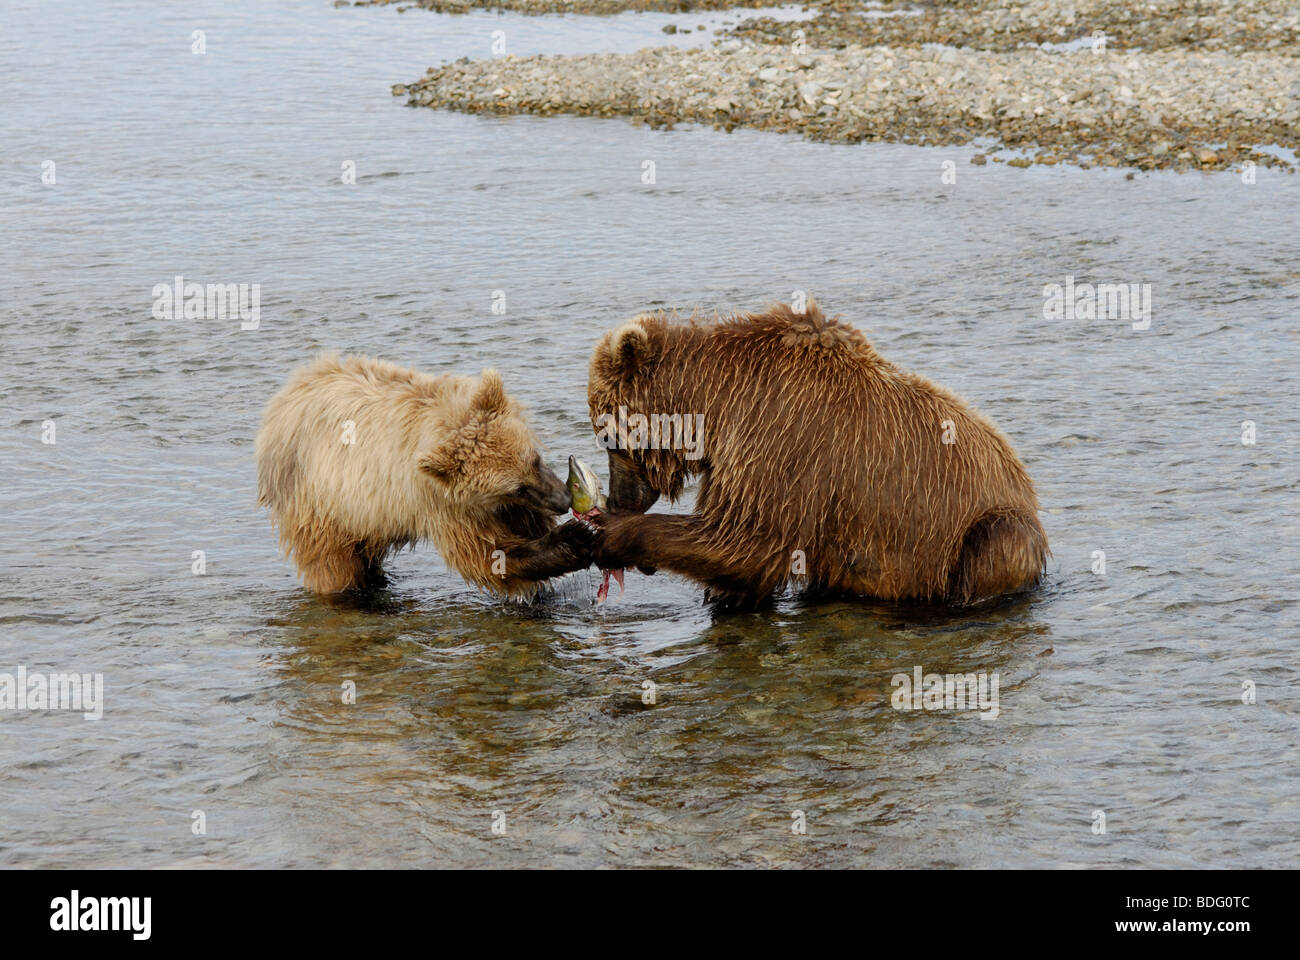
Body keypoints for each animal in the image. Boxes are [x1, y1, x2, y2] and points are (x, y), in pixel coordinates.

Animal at [252, 351, 595, 590]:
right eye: (517, 487)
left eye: (534, 459)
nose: (562, 500)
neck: (445, 419)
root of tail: (281, 399)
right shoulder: (441, 502)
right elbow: (484, 554)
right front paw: (569, 542)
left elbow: (524, 524)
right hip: (319, 502)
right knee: (332, 563)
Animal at [587, 297, 1045, 606]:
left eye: (607, 437)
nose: (618, 499)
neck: (715, 403)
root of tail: (1024, 479)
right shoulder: (732, 459)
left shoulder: (782, 436)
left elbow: (748, 544)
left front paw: (613, 534)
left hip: (977, 528)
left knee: (992, 547)